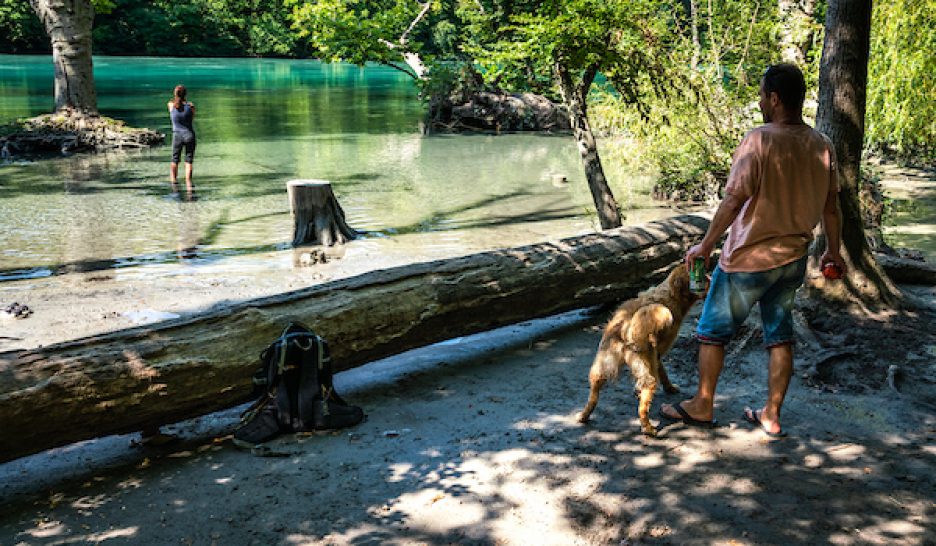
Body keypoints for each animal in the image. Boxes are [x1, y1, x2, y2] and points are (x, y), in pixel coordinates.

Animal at [576, 262, 704, 436]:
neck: (670, 295)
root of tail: (624, 327)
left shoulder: (656, 355)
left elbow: (663, 371)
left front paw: (669, 387)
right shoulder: (658, 349)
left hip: (603, 364)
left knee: (594, 393)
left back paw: (584, 415)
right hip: (642, 366)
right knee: (646, 394)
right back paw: (647, 427)